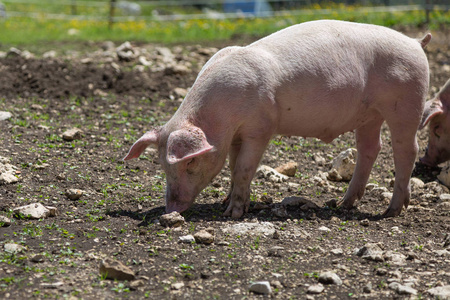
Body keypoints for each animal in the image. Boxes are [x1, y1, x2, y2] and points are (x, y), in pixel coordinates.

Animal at [125, 20, 430, 218]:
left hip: (406, 103)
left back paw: (391, 211)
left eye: (190, 163)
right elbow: (233, 166)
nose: (171, 209)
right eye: (162, 165)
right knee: (370, 148)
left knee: (406, 149)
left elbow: (243, 168)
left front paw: (232, 213)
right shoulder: (235, 137)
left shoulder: (260, 128)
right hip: (370, 115)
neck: (221, 118)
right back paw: (342, 205)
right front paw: (227, 201)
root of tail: (416, 42)